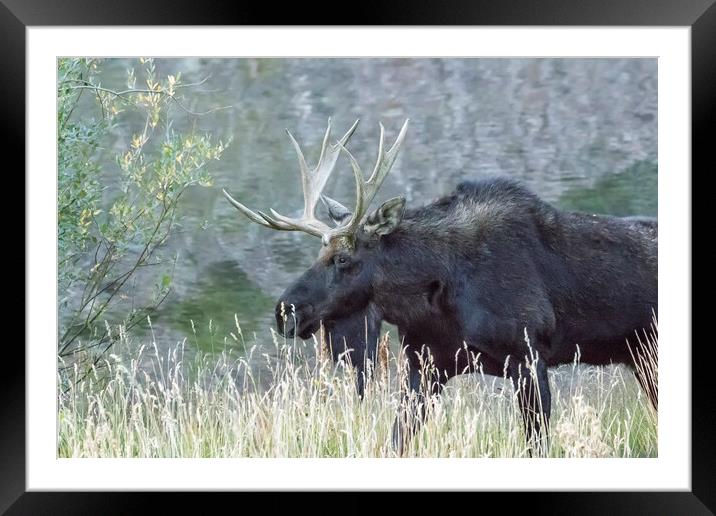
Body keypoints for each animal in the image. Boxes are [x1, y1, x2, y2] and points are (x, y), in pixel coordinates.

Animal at [221, 118, 656, 456]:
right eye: (319, 253)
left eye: (342, 259)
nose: (285, 311)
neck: (435, 294)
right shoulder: (424, 367)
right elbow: (396, 442)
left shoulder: (529, 359)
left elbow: (537, 446)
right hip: (641, 358)